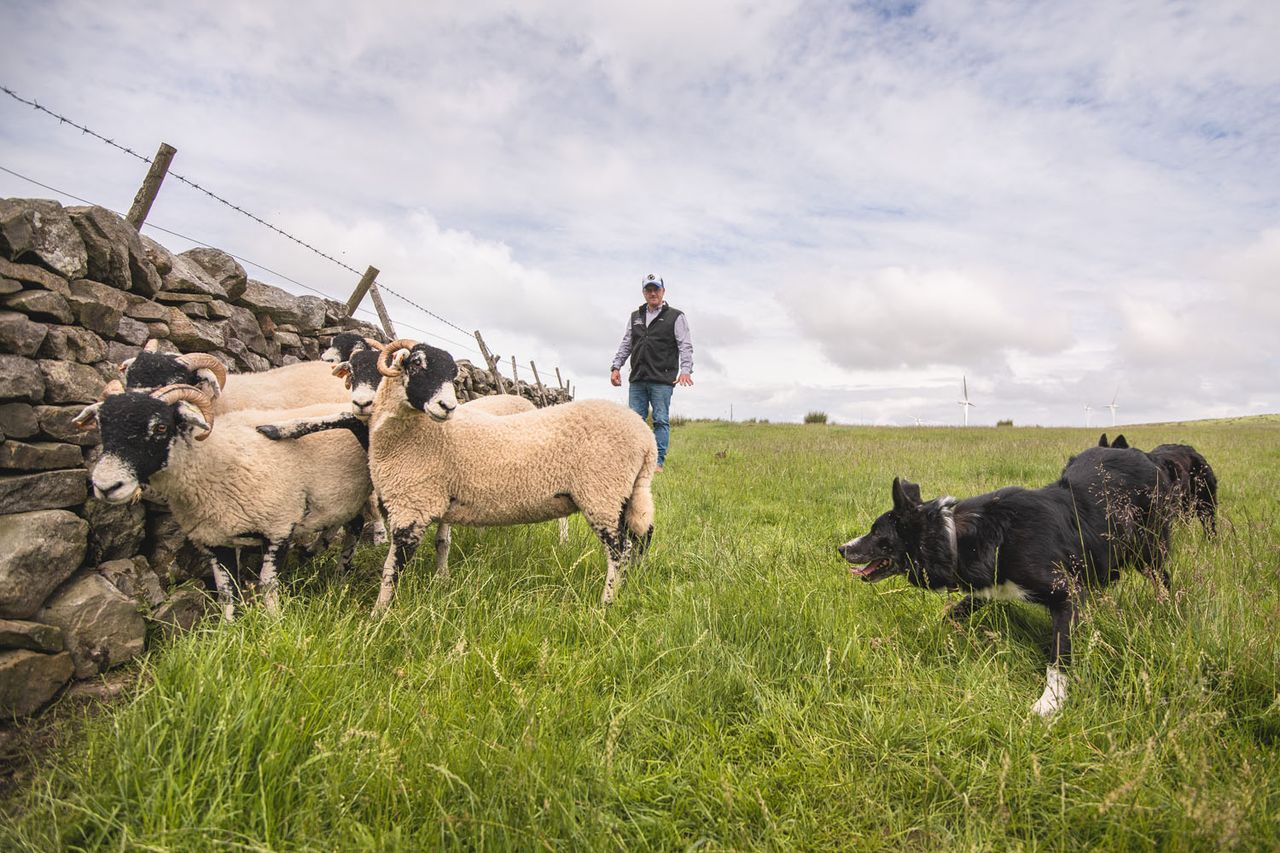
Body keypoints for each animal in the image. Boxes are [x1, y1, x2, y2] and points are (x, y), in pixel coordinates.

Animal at [76, 384, 371, 617]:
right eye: (102, 427)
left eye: (160, 426)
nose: (106, 486)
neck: (214, 458)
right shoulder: (215, 539)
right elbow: (227, 591)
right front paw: (230, 628)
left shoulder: (278, 526)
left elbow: (267, 582)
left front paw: (274, 620)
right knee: (352, 525)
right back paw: (334, 567)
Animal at [363, 338, 655, 612]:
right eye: (416, 364)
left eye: (452, 374)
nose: (447, 406)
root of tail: (646, 438)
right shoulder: (431, 501)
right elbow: (438, 545)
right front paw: (439, 582)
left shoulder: (412, 505)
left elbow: (392, 569)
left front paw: (378, 614)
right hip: (628, 493)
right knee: (642, 537)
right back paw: (634, 582)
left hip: (603, 493)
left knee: (620, 550)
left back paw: (606, 602)